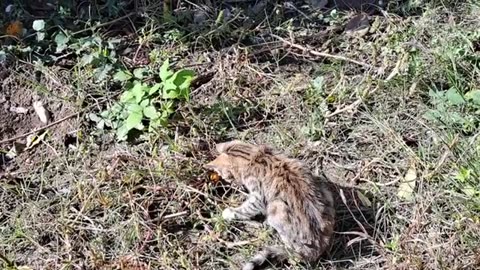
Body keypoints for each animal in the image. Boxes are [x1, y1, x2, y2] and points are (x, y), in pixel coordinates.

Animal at [204, 140, 336, 268]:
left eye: (225, 176)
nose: (231, 183)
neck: (253, 156)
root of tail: (319, 245)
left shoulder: (257, 197)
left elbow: (246, 209)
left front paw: (229, 213)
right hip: (323, 186)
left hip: (276, 207)